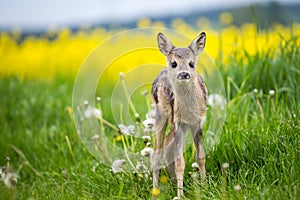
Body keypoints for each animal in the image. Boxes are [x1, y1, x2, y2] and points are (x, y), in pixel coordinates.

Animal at [151, 32, 207, 198]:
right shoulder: (178, 123)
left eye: (192, 63)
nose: (184, 74)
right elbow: (180, 163)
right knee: (156, 152)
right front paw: (180, 195)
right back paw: (155, 189)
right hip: (161, 115)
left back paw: (173, 182)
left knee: (167, 148)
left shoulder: (197, 123)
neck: (190, 113)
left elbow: (201, 157)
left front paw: (206, 186)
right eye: (174, 63)